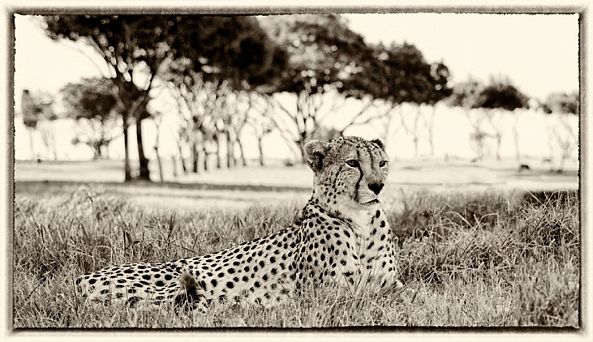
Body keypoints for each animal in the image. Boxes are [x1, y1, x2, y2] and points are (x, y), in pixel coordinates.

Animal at [74, 136, 398, 312]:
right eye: (352, 163)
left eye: (382, 163)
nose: (378, 185)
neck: (361, 222)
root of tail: (82, 277)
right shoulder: (330, 294)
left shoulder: (393, 286)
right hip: (170, 285)